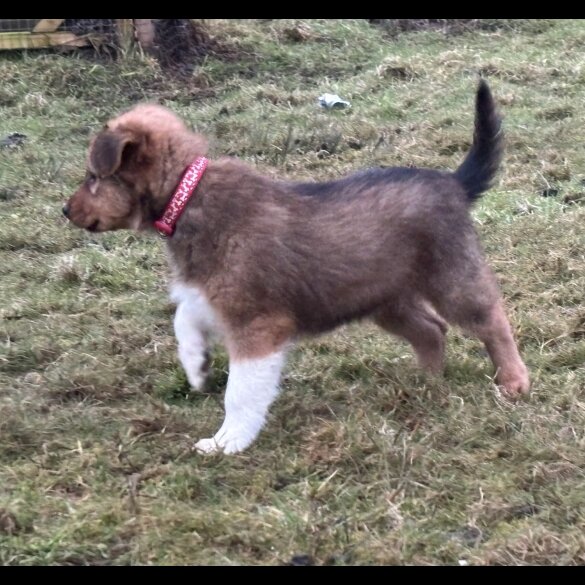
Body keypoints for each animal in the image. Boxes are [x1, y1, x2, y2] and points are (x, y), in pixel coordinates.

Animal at [64, 80, 528, 454]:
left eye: (93, 177)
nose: (64, 210)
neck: (186, 194)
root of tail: (453, 183)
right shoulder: (217, 298)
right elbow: (184, 318)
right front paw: (196, 367)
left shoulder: (256, 324)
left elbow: (241, 392)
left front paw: (227, 442)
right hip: (385, 298)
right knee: (432, 330)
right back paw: (427, 382)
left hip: (452, 279)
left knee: (492, 321)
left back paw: (513, 382)